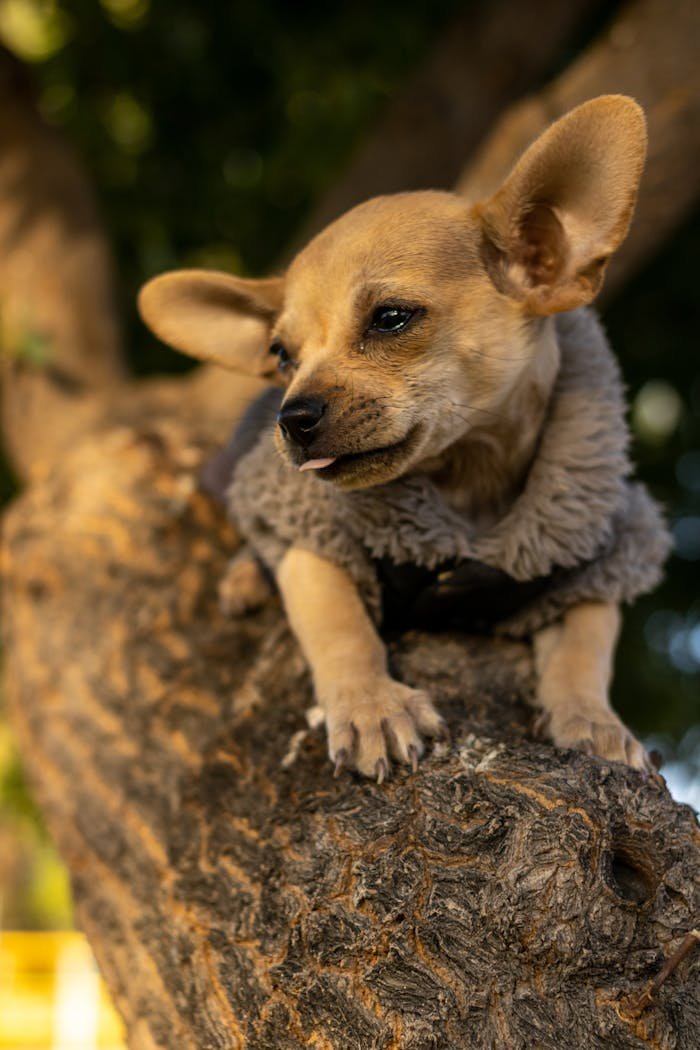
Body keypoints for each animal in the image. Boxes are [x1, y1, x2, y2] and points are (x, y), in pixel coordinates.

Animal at [139, 98, 671, 781]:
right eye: (282, 356)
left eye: (390, 318)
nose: (290, 417)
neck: (468, 485)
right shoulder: (311, 534)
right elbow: (338, 623)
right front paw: (371, 705)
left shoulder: (596, 557)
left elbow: (585, 645)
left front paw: (594, 721)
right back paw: (245, 578)